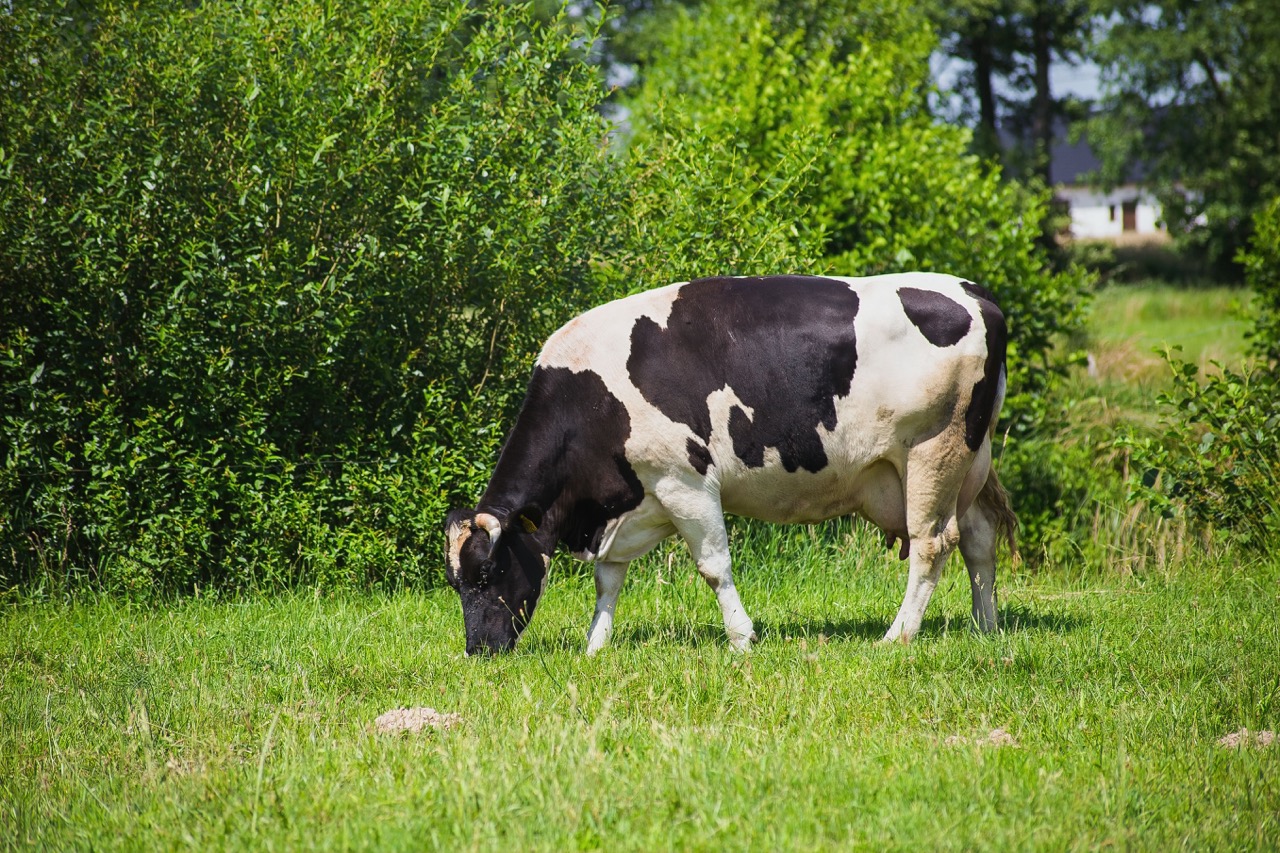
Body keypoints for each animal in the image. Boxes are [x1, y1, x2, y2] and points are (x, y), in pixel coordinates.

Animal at [445, 273, 1017, 656]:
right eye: (455, 583)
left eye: (488, 572)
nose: (479, 650)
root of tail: (974, 293)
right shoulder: (629, 500)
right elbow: (608, 580)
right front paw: (595, 647)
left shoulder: (685, 481)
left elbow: (713, 566)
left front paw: (742, 639)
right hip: (971, 461)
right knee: (978, 537)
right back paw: (985, 627)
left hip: (933, 451)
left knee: (932, 543)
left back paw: (896, 636)